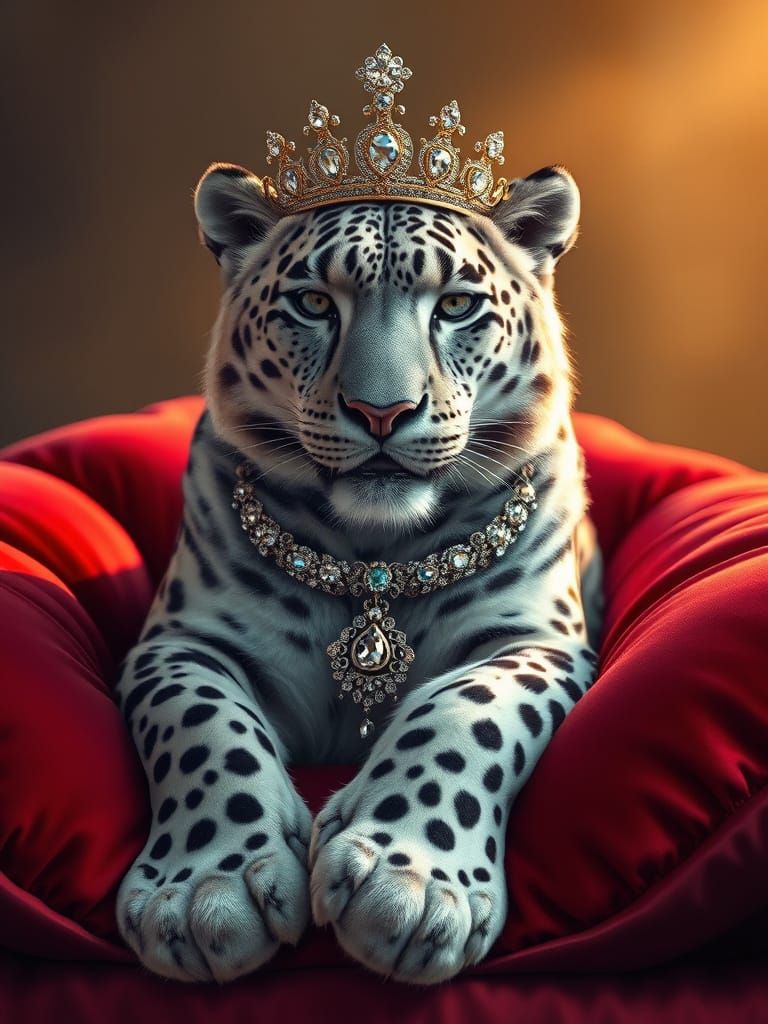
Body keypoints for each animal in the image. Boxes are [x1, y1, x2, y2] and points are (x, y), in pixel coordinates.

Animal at [113, 159, 603, 985]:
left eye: (457, 305)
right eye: (313, 303)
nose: (382, 412)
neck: (374, 561)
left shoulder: (536, 642)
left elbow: (466, 713)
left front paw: (410, 886)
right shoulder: (184, 642)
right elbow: (201, 725)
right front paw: (204, 891)